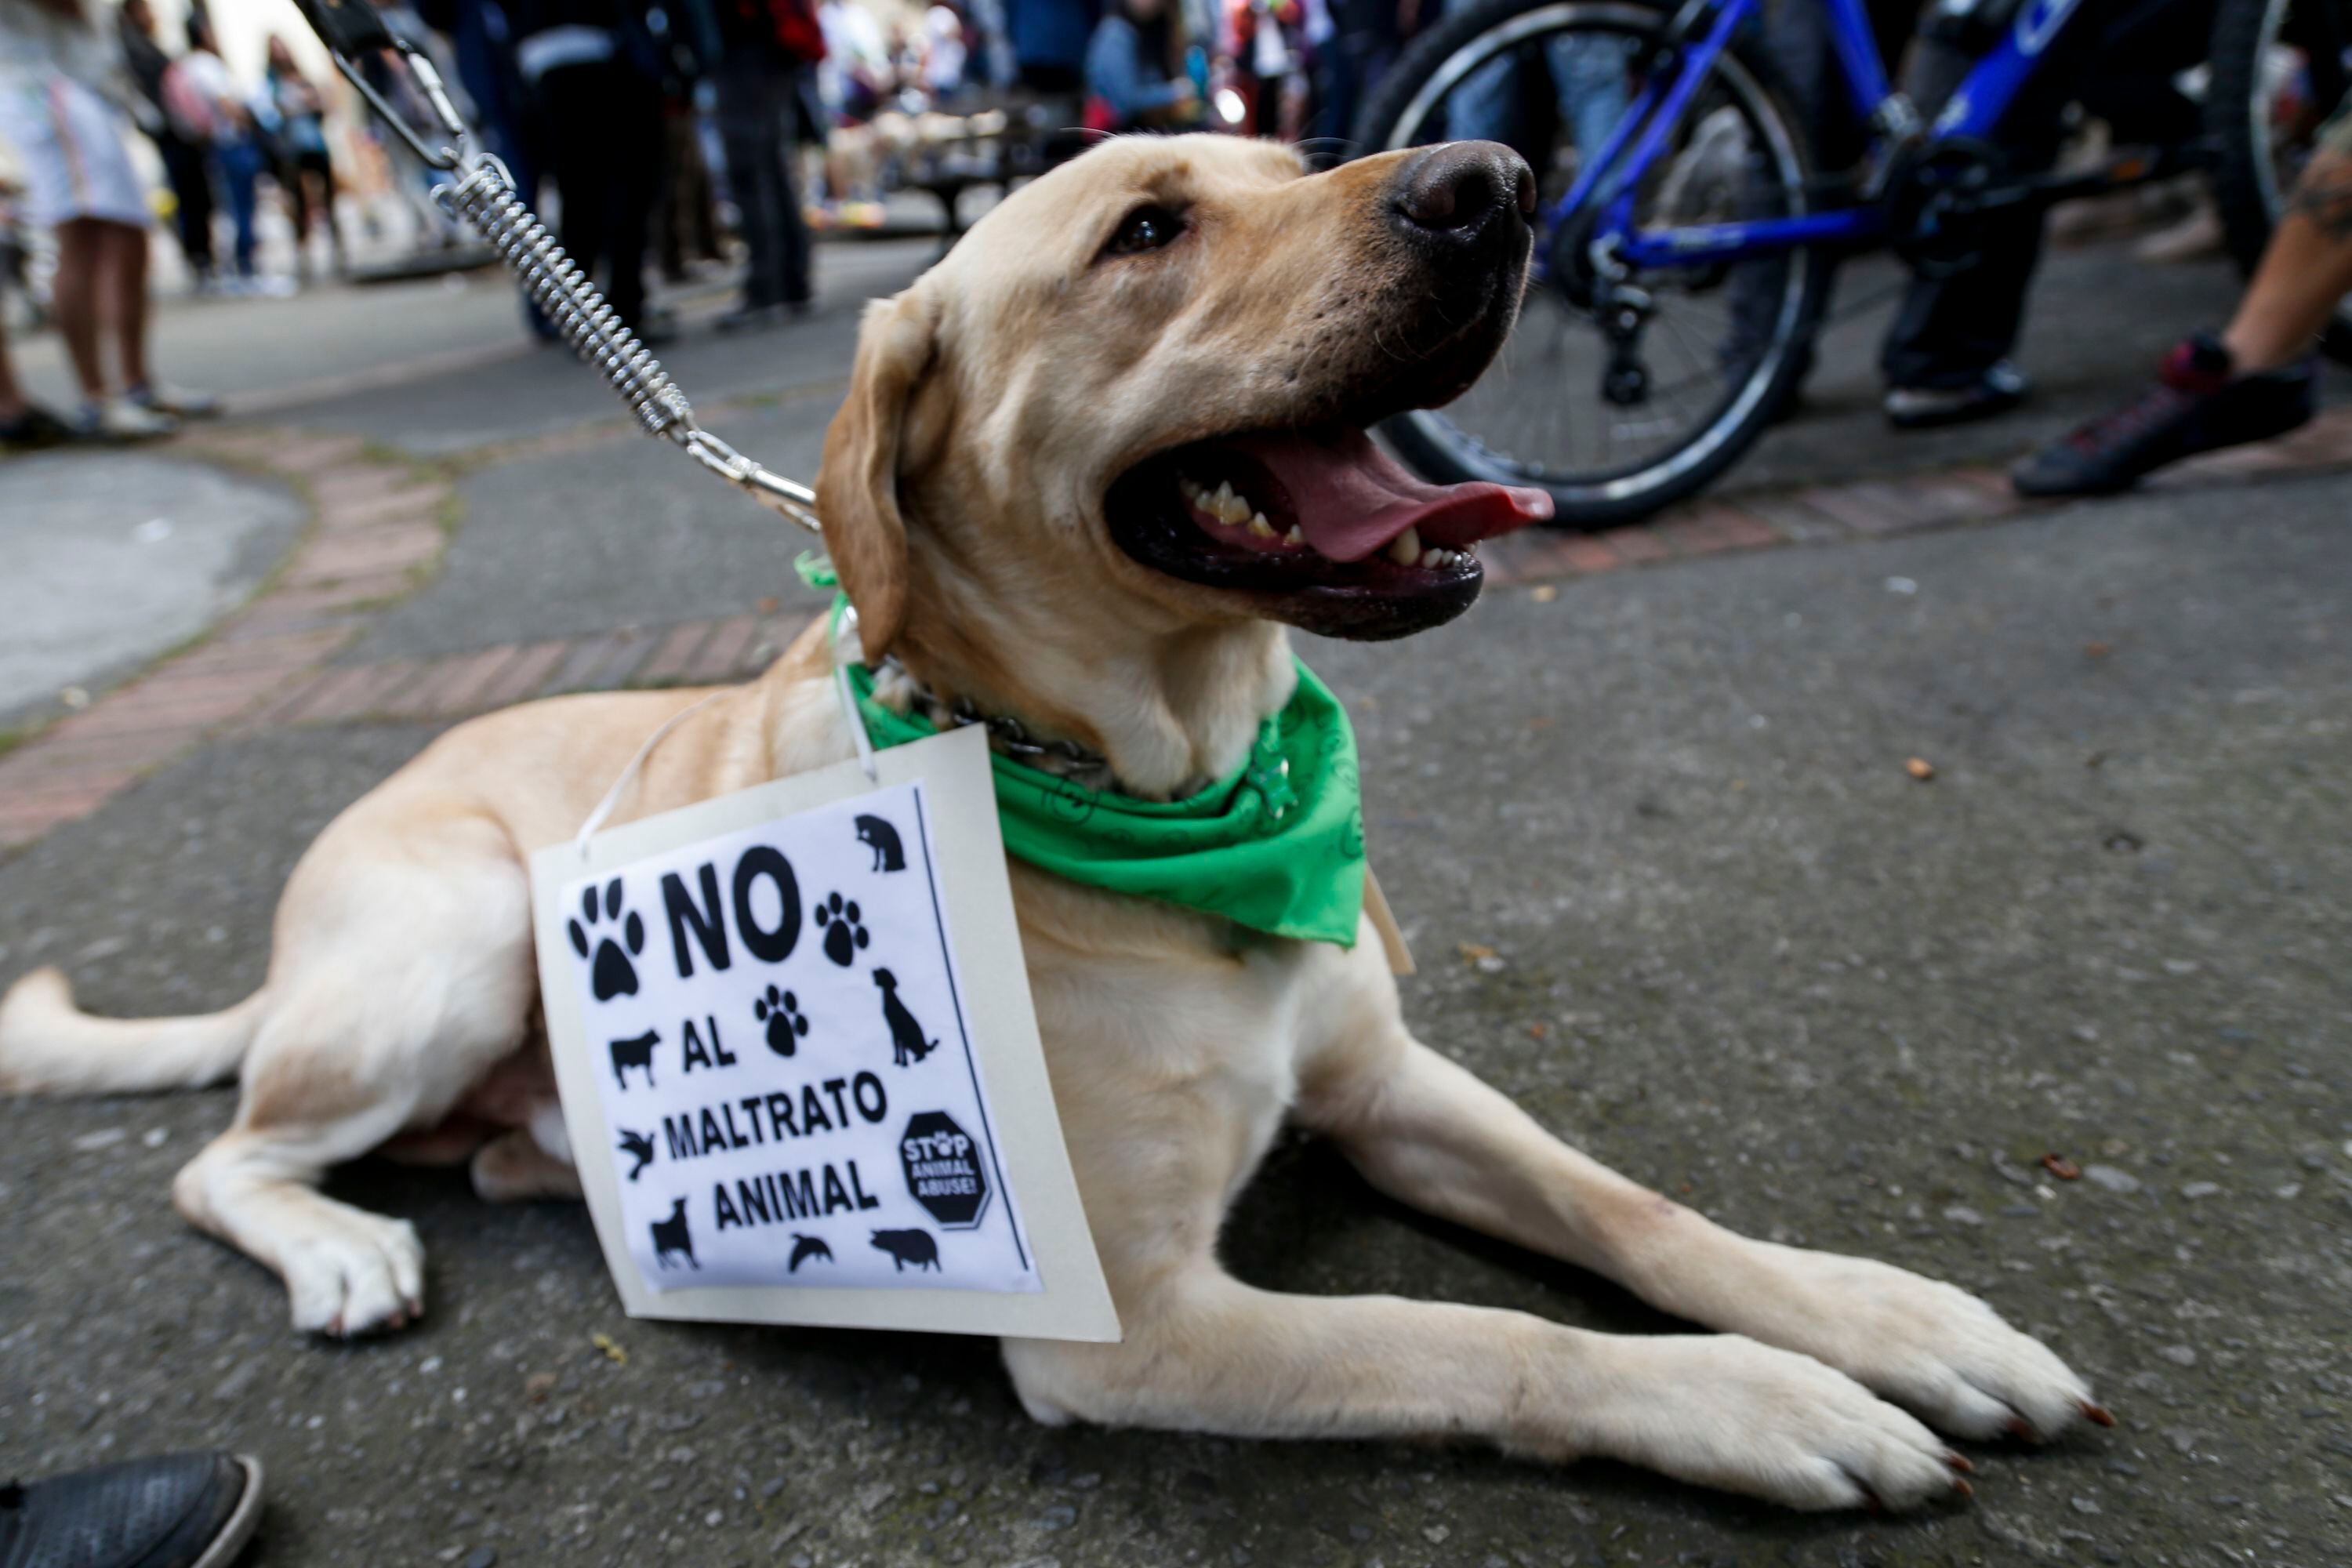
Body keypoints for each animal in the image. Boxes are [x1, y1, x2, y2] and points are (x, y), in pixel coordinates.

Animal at [4, 138, 2117, 1523]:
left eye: (1289, 154)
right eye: (1148, 231)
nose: (1499, 179)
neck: (1169, 790)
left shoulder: (1386, 1079)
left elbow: (1632, 1210)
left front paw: (1871, 1313)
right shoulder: (1142, 1325)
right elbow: (1488, 1336)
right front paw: (1756, 1400)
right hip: (443, 947)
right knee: (220, 1157)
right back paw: (338, 1247)